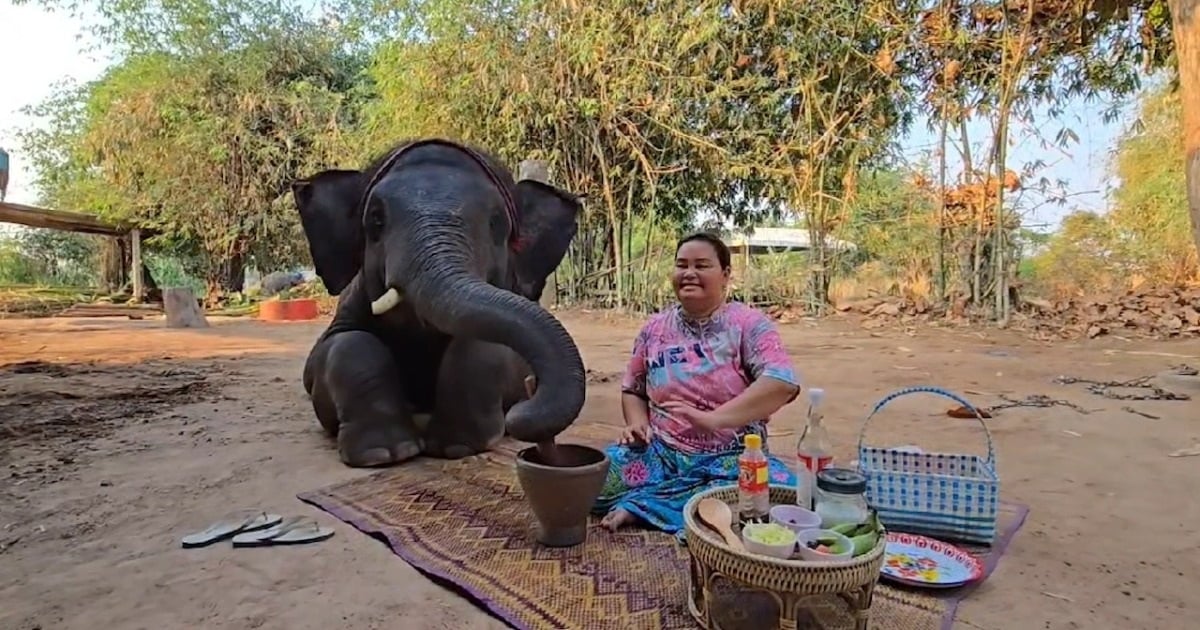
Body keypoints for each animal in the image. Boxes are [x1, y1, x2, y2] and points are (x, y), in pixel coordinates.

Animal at [290, 139, 590, 468]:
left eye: (496, 223)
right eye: (376, 220)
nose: (522, 409)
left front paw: (455, 448)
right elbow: (340, 346)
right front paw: (384, 454)